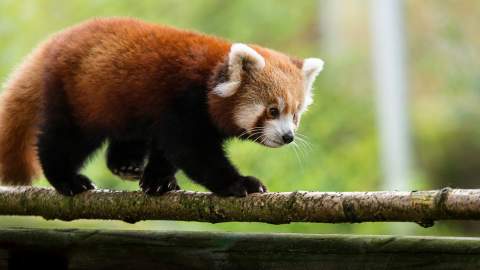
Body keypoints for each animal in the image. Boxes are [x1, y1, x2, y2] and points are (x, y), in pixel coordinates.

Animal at [0, 17, 324, 197]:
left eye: (295, 115)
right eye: (272, 110)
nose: (288, 136)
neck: (209, 78)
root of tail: (55, 40)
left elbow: (167, 150)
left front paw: (157, 181)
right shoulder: (182, 103)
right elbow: (192, 151)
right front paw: (239, 183)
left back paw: (126, 164)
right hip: (75, 93)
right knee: (63, 138)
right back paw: (67, 179)